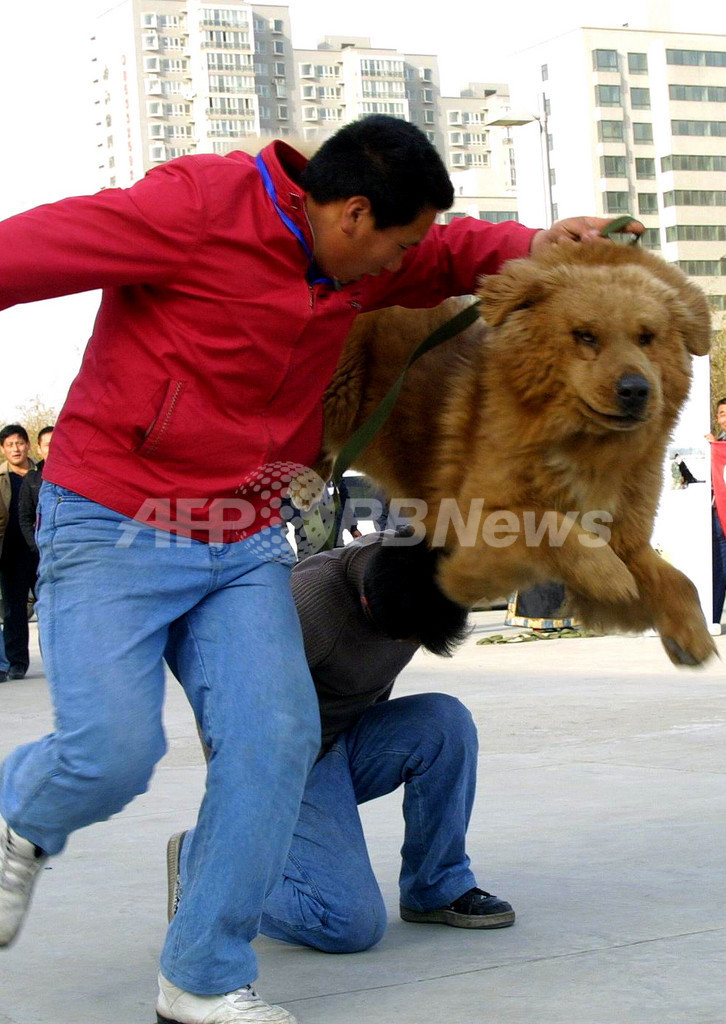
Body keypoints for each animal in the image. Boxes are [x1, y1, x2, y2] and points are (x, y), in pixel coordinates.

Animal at [321, 242, 712, 667]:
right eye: (585, 336)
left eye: (647, 337)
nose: (637, 389)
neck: (587, 449)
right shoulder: (468, 535)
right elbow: (546, 524)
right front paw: (609, 575)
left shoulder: (628, 539)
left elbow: (680, 580)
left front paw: (690, 634)